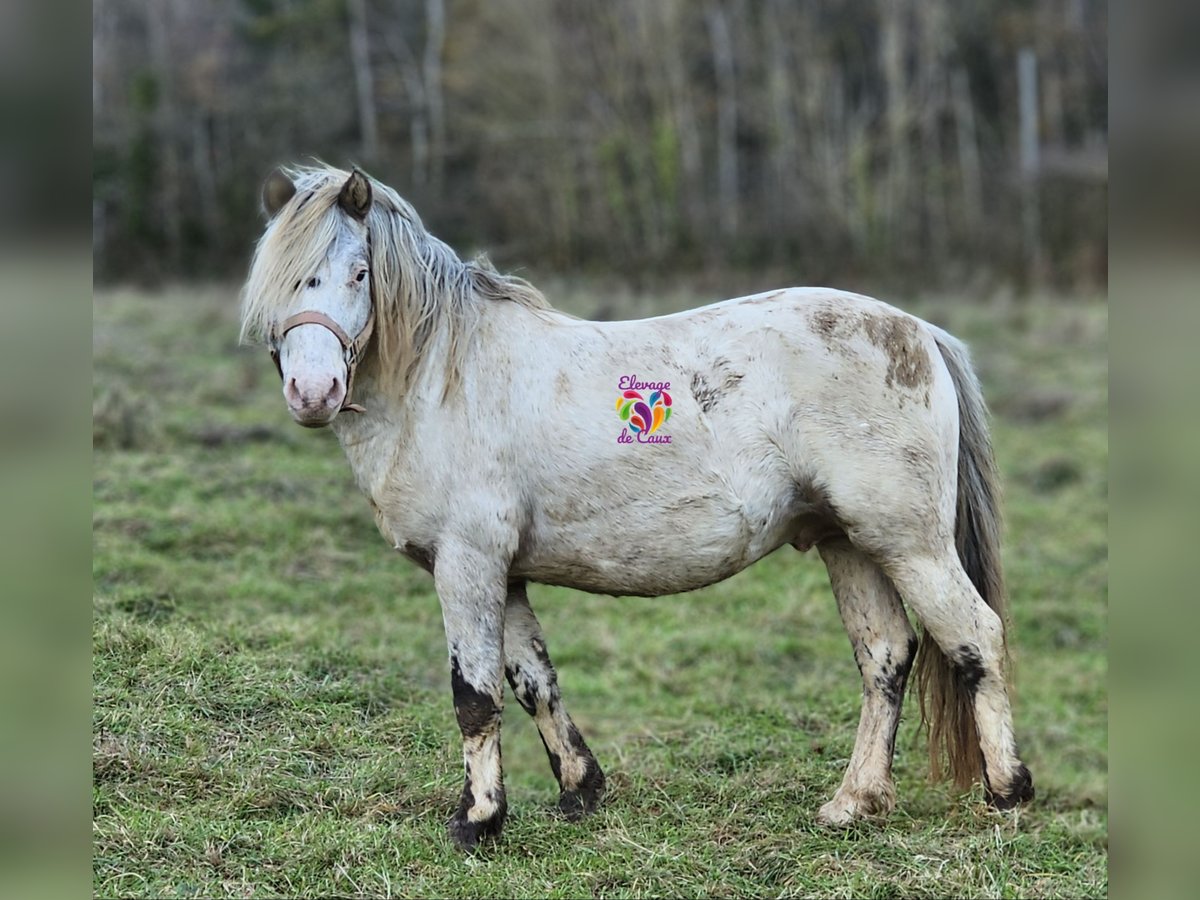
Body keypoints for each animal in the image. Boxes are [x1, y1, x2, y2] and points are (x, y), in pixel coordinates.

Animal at [241, 164, 1032, 854]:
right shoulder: (507, 573)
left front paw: (478, 822)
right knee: (886, 659)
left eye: (359, 273)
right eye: (279, 280)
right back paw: (854, 803)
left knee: (973, 638)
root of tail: (921, 332)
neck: (444, 377)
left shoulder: (466, 565)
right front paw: (579, 792)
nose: (312, 392)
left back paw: (1007, 794)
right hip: (848, 543)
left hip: (908, 543)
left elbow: (475, 696)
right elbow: (532, 683)